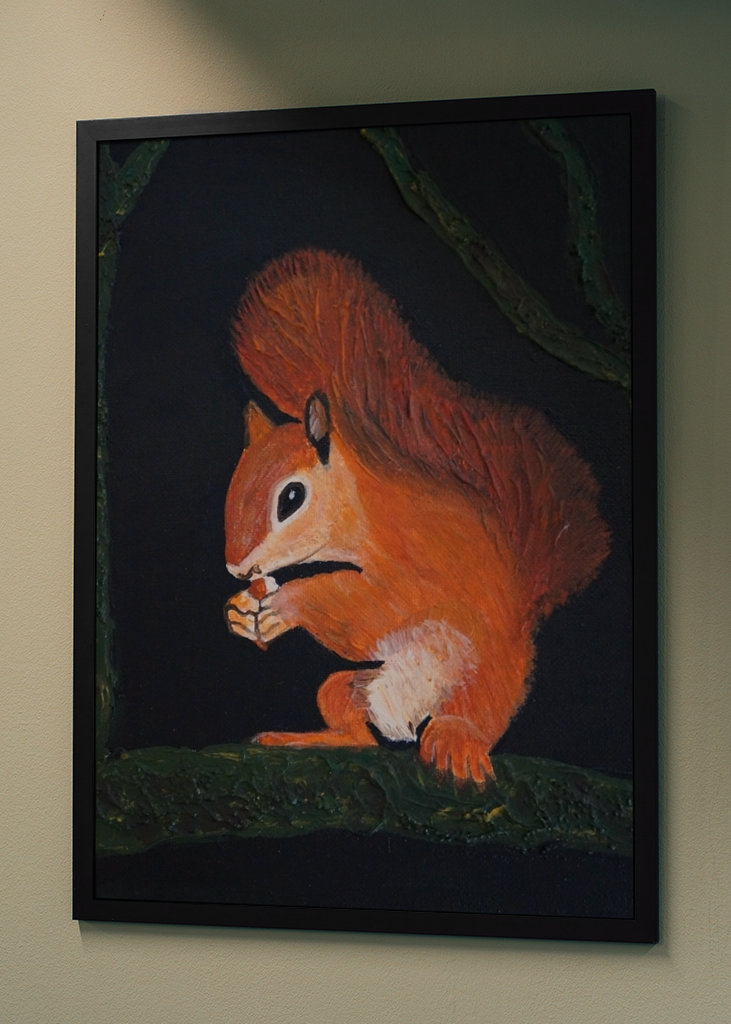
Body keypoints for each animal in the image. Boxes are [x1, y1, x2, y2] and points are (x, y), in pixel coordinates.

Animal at [224, 249, 610, 783]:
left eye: (291, 498)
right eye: (234, 484)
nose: (236, 568)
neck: (367, 510)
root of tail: (406, 715)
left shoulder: (416, 563)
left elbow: (368, 607)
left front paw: (287, 603)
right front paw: (240, 612)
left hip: (485, 681)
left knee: (473, 715)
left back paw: (455, 742)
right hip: (353, 686)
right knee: (353, 723)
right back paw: (311, 738)